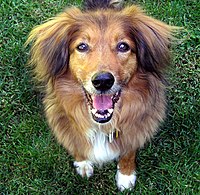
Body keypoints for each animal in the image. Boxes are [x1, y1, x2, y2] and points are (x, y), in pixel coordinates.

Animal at [27, 0, 175, 191]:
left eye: (123, 46)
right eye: (82, 46)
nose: (103, 81)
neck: (102, 126)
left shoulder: (138, 127)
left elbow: (128, 152)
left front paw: (126, 175)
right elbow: (76, 144)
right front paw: (83, 163)